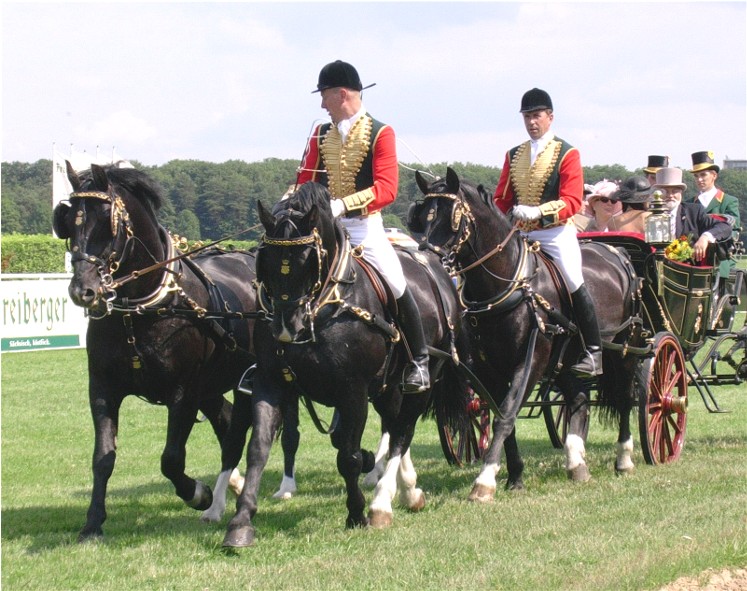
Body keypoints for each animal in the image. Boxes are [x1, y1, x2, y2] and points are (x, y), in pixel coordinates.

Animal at [52, 163, 258, 540]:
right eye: (68, 221)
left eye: (107, 223)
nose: (82, 290)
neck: (140, 310)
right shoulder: (102, 388)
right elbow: (103, 458)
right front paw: (92, 523)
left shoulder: (183, 393)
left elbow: (171, 459)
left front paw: (198, 493)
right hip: (212, 385)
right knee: (225, 422)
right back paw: (233, 485)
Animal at [221, 183, 468, 548]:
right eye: (264, 260)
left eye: (308, 261)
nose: (286, 328)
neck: (325, 307)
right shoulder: (270, 383)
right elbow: (258, 449)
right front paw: (240, 523)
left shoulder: (353, 392)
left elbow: (348, 457)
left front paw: (356, 513)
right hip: (388, 389)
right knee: (394, 424)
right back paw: (407, 489)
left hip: (419, 383)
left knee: (402, 432)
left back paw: (383, 503)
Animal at [410, 169, 644, 502]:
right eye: (422, 216)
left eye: (453, 218)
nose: (428, 262)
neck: (506, 284)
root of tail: (618, 252)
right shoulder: (490, 370)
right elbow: (501, 416)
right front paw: (514, 474)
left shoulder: (530, 363)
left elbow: (506, 415)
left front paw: (484, 481)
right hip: (565, 362)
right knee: (580, 397)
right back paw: (576, 462)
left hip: (623, 350)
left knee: (625, 397)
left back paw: (623, 459)